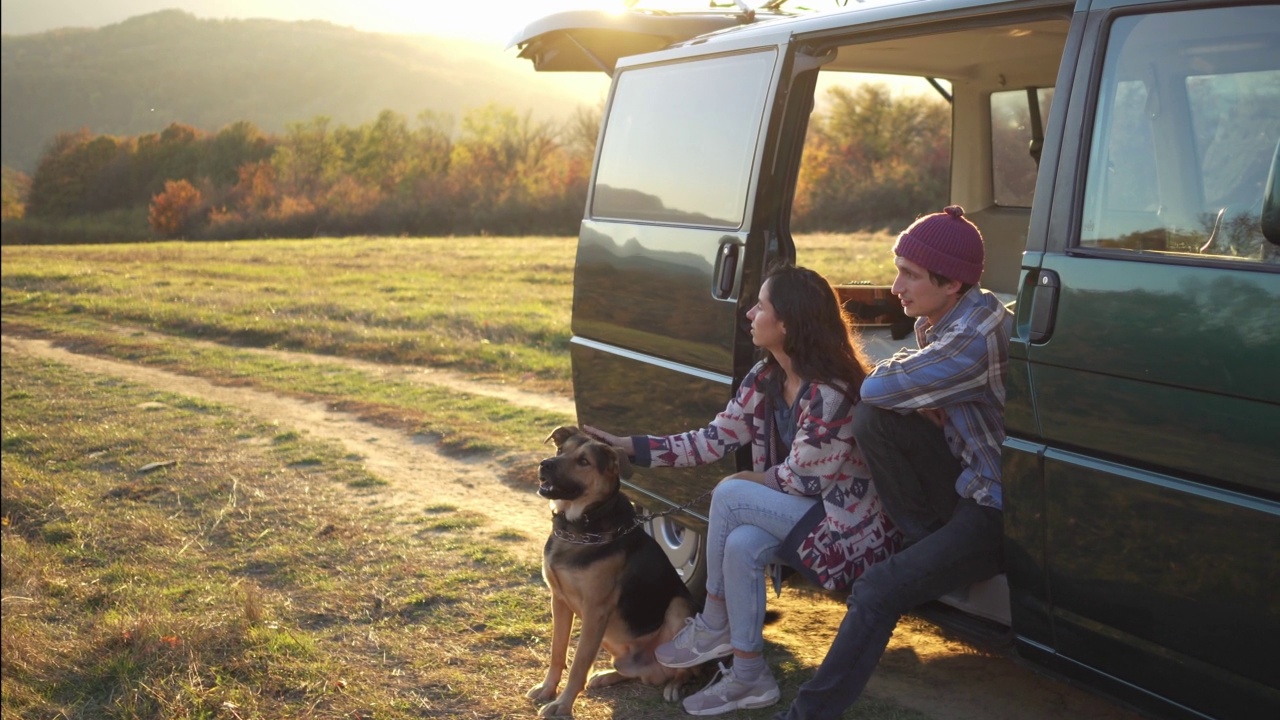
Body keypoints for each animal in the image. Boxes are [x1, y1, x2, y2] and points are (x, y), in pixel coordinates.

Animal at [522, 422, 696, 712]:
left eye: (584, 462)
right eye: (560, 449)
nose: (545, 464)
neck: (577, 527)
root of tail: (652, 667)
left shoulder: (595, 610)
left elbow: (579, 662)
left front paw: (563, 705)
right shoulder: (559, 600)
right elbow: (557, 651)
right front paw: (548, 689)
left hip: (679, 609)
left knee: (687, 669)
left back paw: (674, 686)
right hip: (612, 640)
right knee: (633, 672)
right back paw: (606, 675)